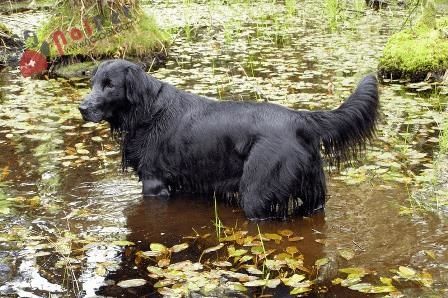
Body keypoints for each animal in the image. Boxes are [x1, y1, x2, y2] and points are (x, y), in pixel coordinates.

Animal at [79, 60, 378, 219]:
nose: (82, 108)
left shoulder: (154, 182)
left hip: (257, 193)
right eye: (93, 83)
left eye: (110, 85)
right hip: (313, 194)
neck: (148, 111)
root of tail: (300, 118)